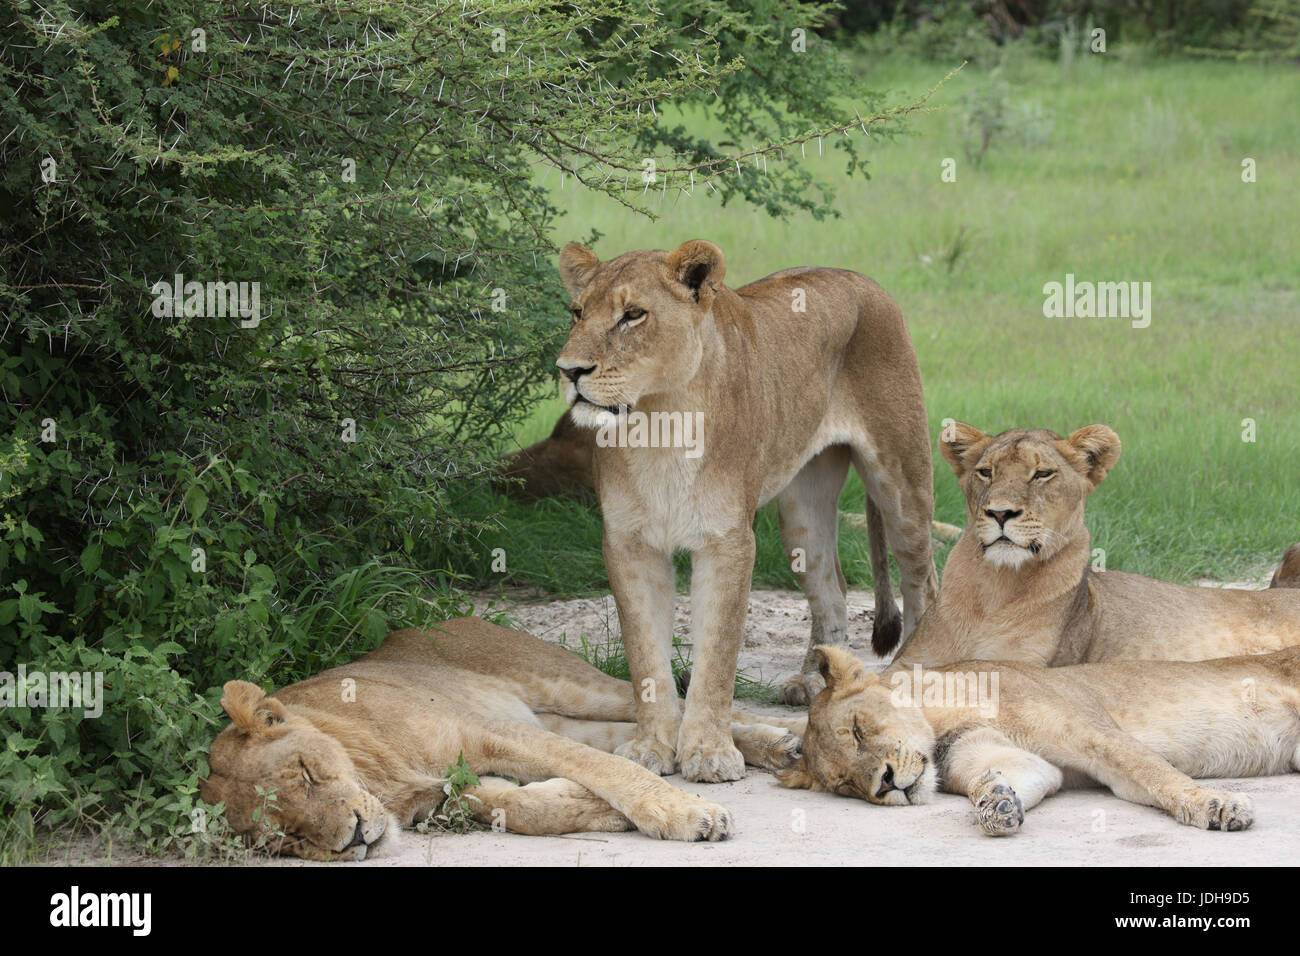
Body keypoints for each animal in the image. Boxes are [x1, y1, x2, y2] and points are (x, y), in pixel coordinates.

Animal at [200, 616, 803, 860]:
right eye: (286, 838)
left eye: (305, 773)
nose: (353, 839)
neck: (378, 775)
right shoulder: (447, 789)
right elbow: (526, 807)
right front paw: (600, 811)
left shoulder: (486, 730)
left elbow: (610, 770)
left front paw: (687, 814)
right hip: (560, 715)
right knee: (647, 734)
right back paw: (778, 750)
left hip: (564, 684)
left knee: (681, 709)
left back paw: (794, 738)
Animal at [554, 239, 938, 782]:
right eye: (577, 312)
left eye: (632, 315)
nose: (569, 371)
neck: (659, 419)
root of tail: (861, 277)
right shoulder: (629, 543)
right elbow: (646, 657)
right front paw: (652, 747)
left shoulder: (728, 541)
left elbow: (717, 656)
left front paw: (710, 754)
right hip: (802, 513)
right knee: (833, 589)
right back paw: (814, 680)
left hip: (901, 482)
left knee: (923, 579)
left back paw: (916, 672)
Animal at [776, 644, 1300, 835]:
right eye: (846, 784)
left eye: (858, 730)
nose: (883, 784)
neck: (939, 720)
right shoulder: (1019, 759)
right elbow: (1010, 778)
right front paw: (996, 802)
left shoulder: (1092, 732)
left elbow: (1154, 772)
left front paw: (1216, 804)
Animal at [886, 421, 1300, 671]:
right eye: (985, 472)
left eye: (1042, 474)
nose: (1000, 512)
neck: (995, 587)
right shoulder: (907, 664)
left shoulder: (1025, 667)